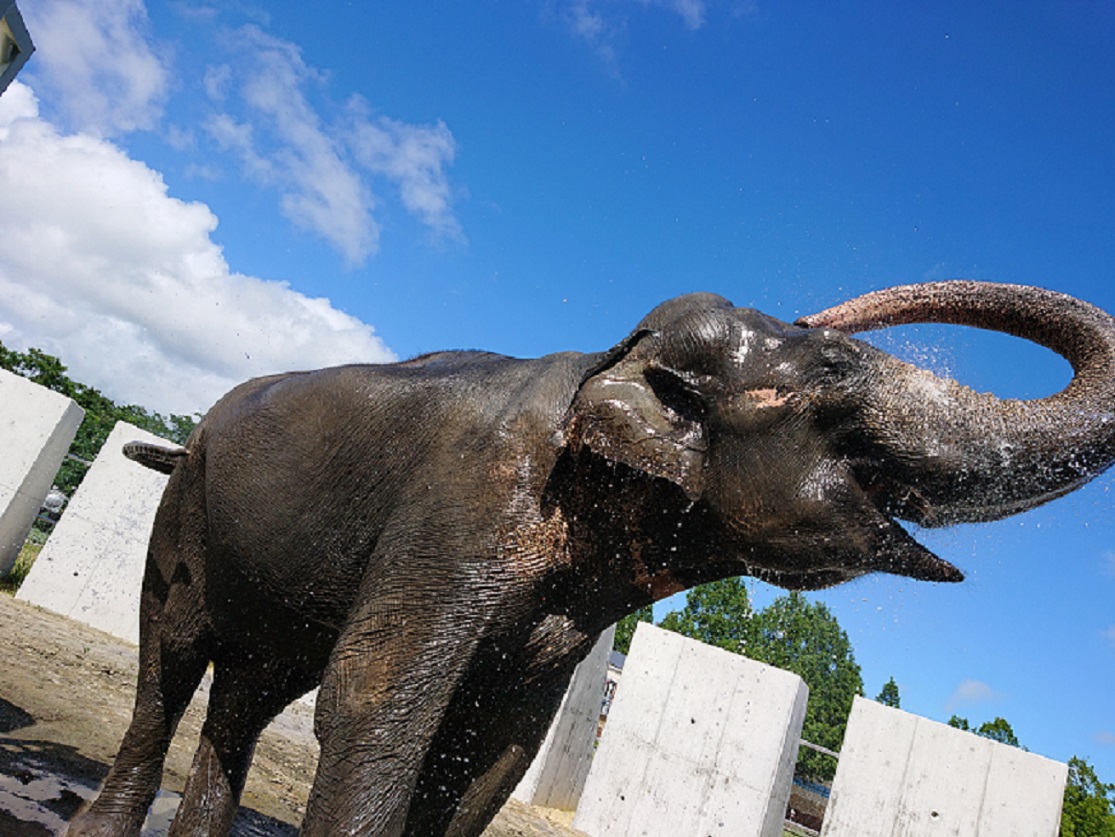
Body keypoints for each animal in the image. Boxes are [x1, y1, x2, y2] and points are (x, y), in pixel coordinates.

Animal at [67, 281, 1115, 837]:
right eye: (832, 372)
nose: (833, 316)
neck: (602, 366)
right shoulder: (463, 502)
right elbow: (377, 703)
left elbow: (497, 743)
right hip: (187, 508)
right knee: (170, 660)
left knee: (249, 693)